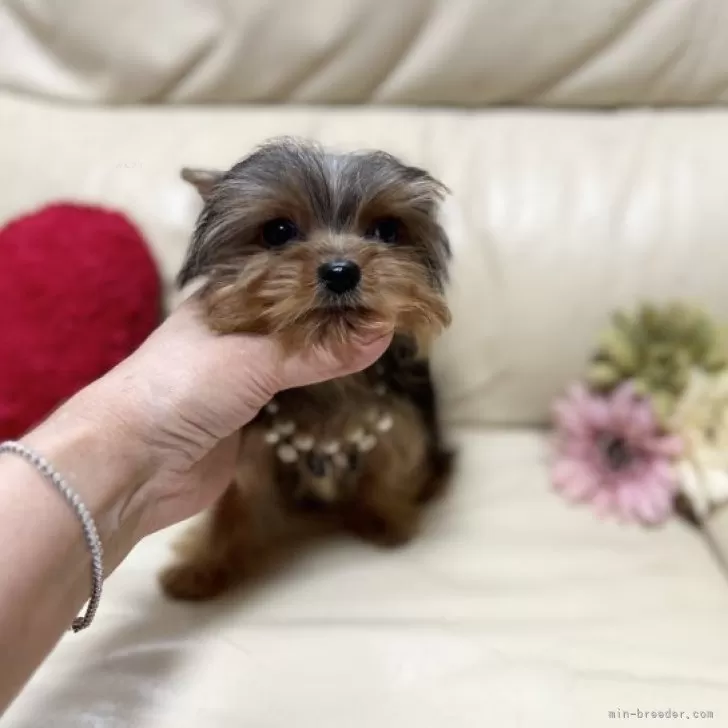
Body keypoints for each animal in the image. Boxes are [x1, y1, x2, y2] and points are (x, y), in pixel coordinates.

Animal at [162, 138, 452, 604]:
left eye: (386, 232)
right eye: (278, 232)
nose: (341, 271)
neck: (330, 383)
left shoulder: (401, 419)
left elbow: (388, 466)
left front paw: (385, 519)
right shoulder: (250, 448)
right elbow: (235, 500)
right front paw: (202, 566)